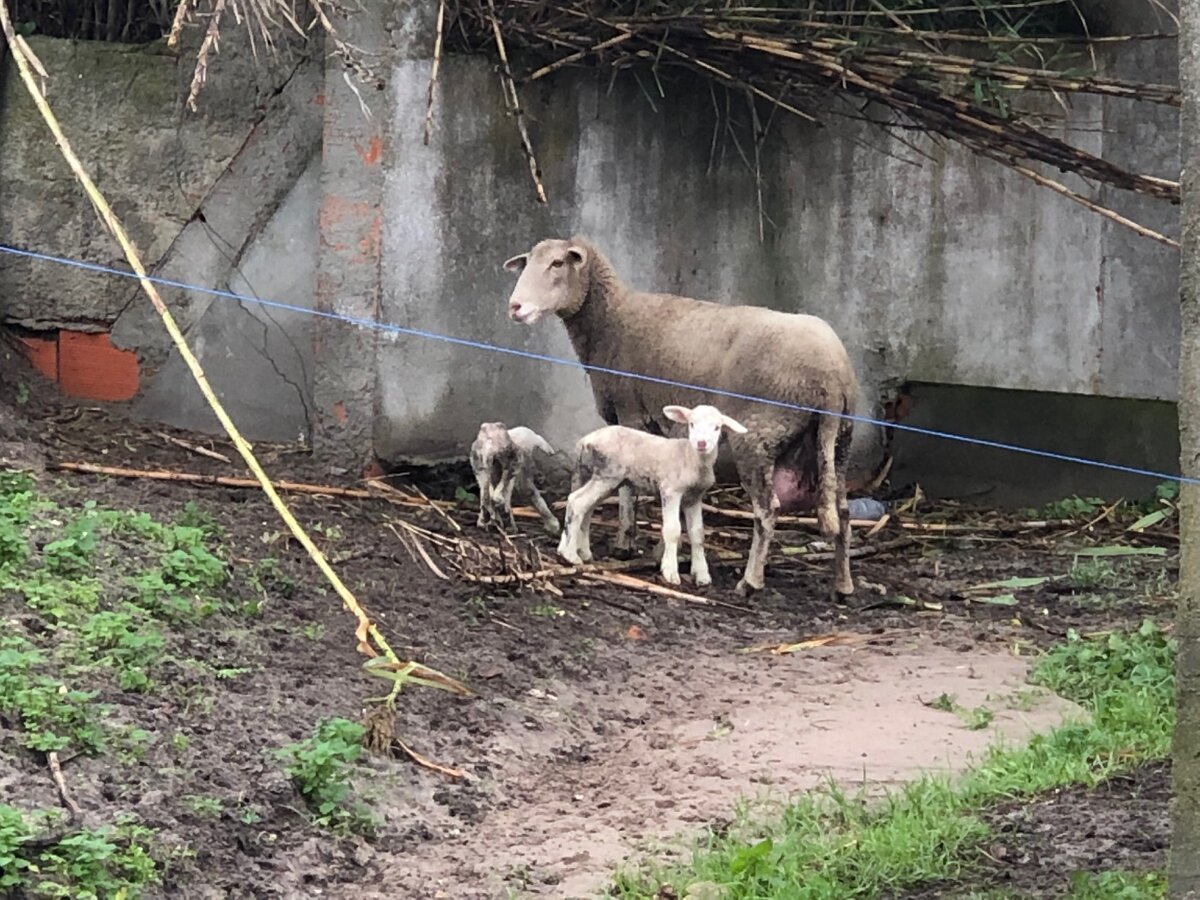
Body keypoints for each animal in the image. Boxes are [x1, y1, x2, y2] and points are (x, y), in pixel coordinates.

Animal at [556, 405, 744, 588]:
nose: (701, 443)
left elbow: (698, 534)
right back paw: (570, 554)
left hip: (602, 477)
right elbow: (672, 530)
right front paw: (670, 572)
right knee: (577, 502)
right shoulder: (671, 490)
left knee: (586, 508)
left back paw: (580, 551)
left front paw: (702, 575)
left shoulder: (694, 497)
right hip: (607, 474)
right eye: (691, 424)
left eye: (717, 427)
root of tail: (584, 441)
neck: (690, 457)